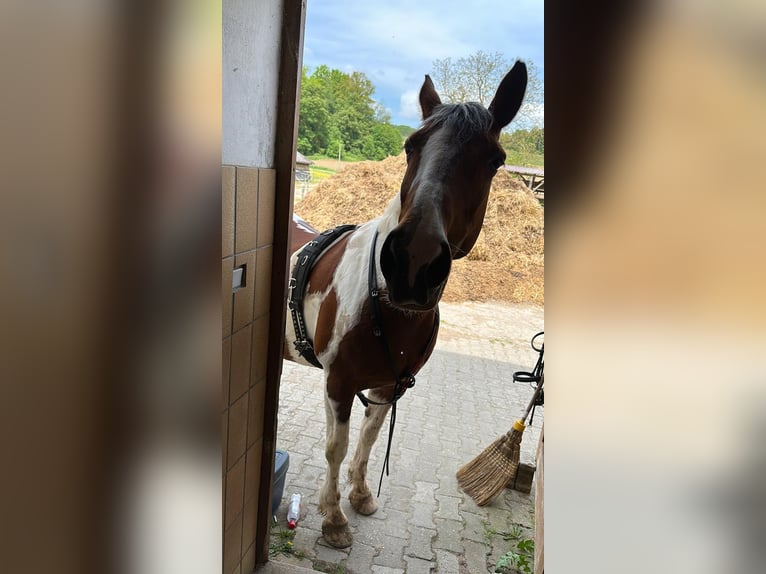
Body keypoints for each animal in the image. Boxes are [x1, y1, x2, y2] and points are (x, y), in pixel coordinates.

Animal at [283, 62, 528, 548]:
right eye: (411, 146)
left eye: (495, 160)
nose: (414, 260)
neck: (381, 304)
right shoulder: (338, 383)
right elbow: (336, 447)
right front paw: (333, 517)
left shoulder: (387, 387)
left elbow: (370, 438)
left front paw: (359, 496)